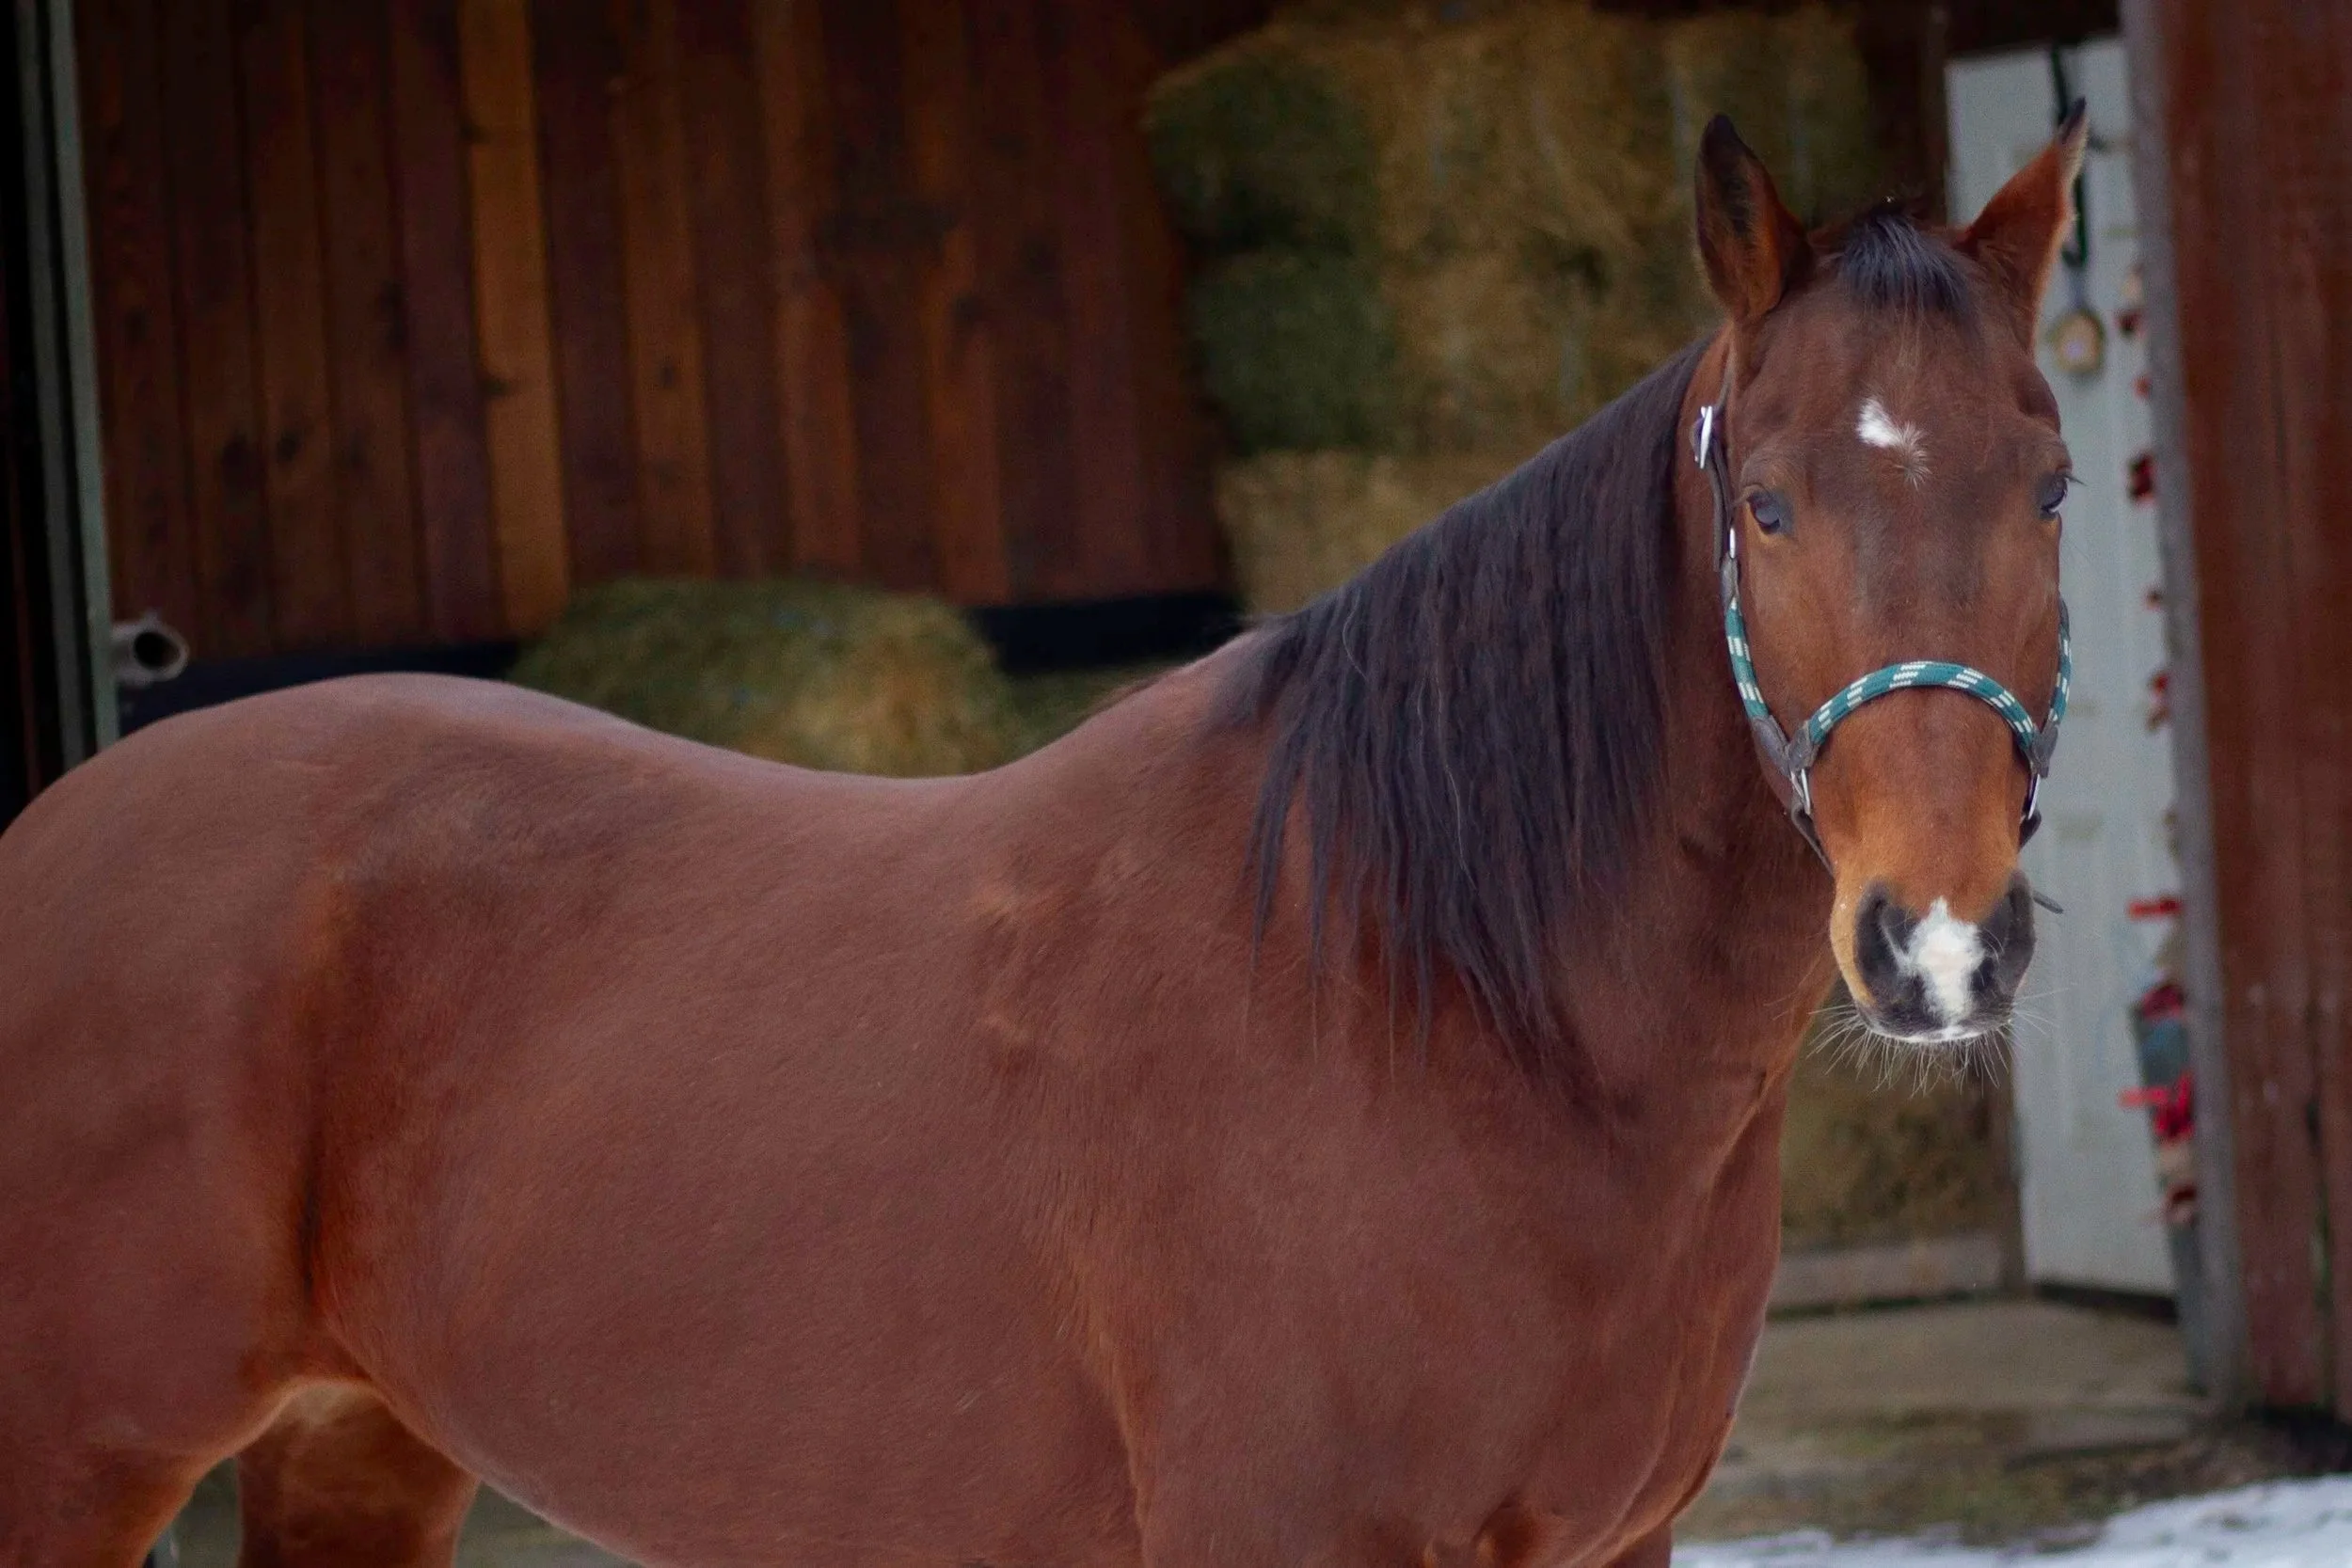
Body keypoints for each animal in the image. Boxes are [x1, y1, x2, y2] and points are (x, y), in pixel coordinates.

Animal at [1, 111, 2085, 1568]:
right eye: (1768, 502)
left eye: (2053, 483)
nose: (1938, 942)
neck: (1431, 999)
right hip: (85, 1455)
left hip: (354, 1446)